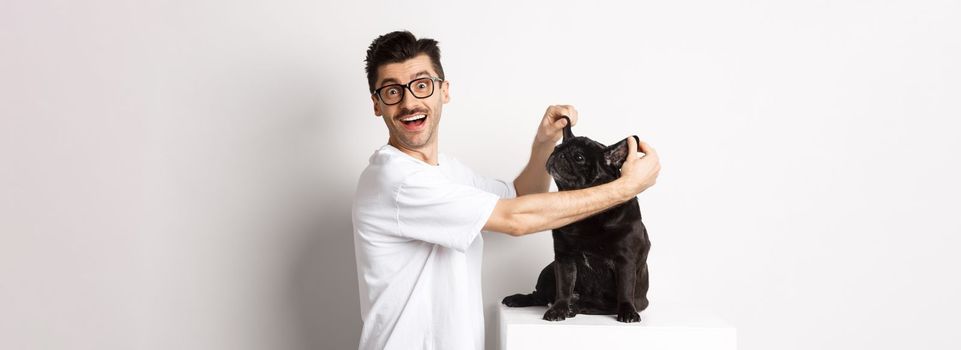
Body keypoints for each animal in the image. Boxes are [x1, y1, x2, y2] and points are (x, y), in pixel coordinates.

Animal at [502, 118, 652, 322]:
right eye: (556, 147)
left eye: (579, 157)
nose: (559, 154)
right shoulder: (564, 258)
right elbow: (564, 286)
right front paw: (558, 309)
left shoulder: (625, 260)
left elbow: (626, 288)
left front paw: (628, 311)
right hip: (548, 270)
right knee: (540, 296)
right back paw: (522, 299)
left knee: (600, 305)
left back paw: (577, 306)